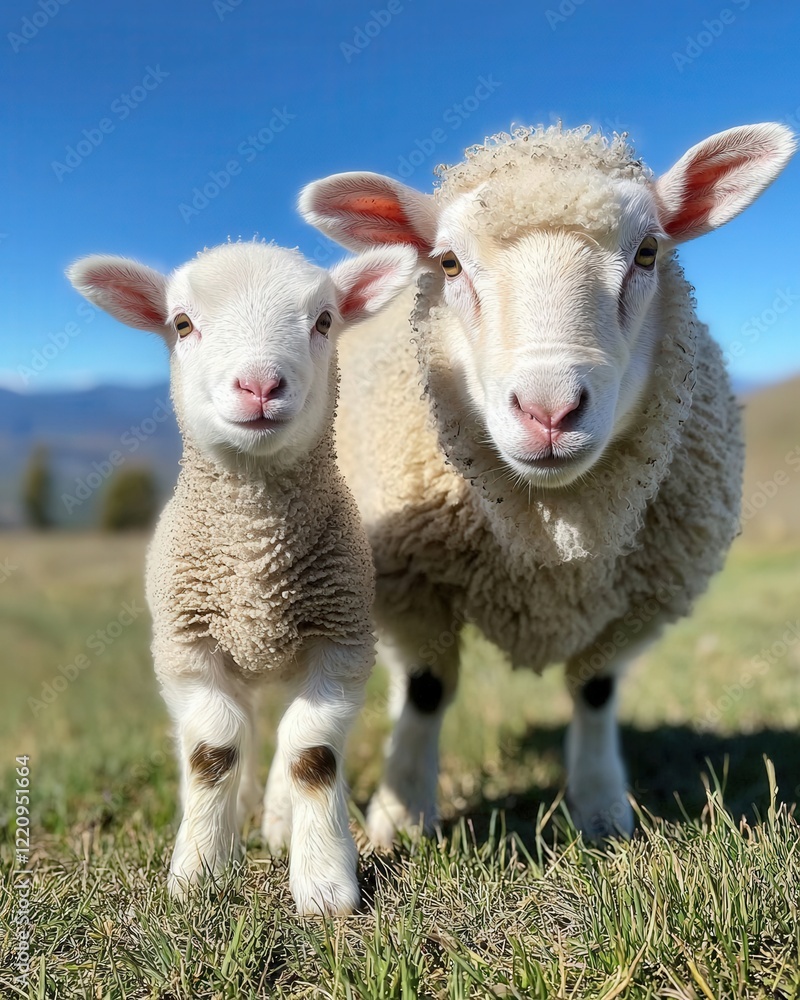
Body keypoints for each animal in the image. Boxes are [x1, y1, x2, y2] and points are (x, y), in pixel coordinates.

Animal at [67, 239, 417, 914]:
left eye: (325, 320)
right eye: (181, 324)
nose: (259, 384)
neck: (255, 561)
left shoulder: (341, 643)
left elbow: (311, 753)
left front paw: (324, 883)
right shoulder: (186, 645)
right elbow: (214, 749)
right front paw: (200, 868)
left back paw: (275, 820)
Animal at [299, 122, 796, 845]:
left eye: (649, 252)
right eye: (448, 264)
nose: (550, 410)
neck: (552, 534)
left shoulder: (637, 602)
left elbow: (594, 691)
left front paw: (601, 809)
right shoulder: (411, 583)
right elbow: (424, 689)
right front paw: (403, 813)